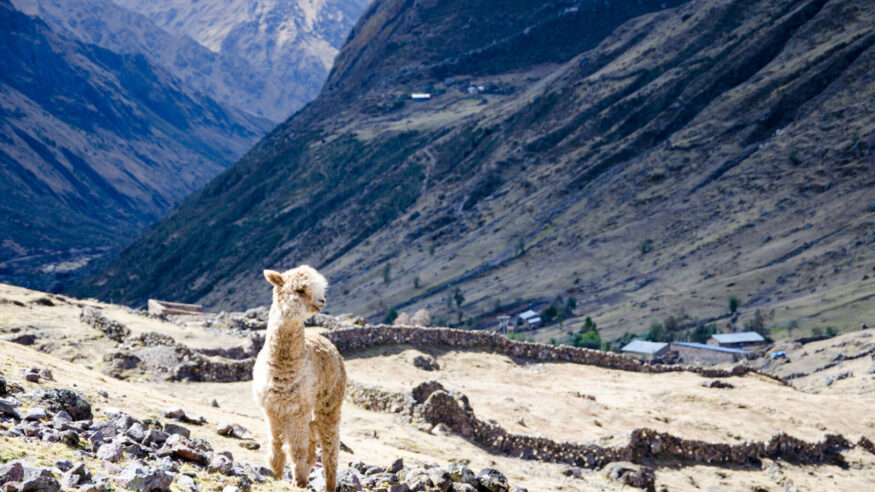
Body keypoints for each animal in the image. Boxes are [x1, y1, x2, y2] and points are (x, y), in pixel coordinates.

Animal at [252, 265, 346, 489]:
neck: (282, 369)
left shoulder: (297, 409)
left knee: (330, 446)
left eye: (321, 288)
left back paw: (329, 484)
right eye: (300, 290)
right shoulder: (272, 408)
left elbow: (296, 449)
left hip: (329, 403)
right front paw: (277, 475)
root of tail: (326, 340)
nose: (322, 301)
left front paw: (298, 482)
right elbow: (276, 445)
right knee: (312, 442)